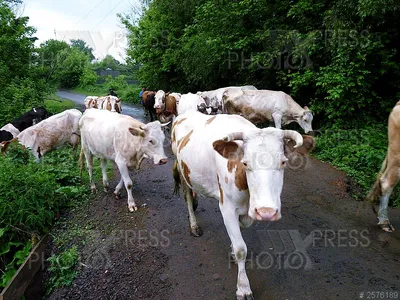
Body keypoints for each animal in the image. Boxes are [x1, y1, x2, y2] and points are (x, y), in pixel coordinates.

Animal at [170, 110, 314, 300]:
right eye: (245, 163)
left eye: (283, 162)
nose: (266, 212)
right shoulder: (227, 207)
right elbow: (241, 249)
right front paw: (243, 287)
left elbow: (241, 228)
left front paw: (232, 247)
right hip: (182, 169)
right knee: (187, 196)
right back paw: (193, 224)